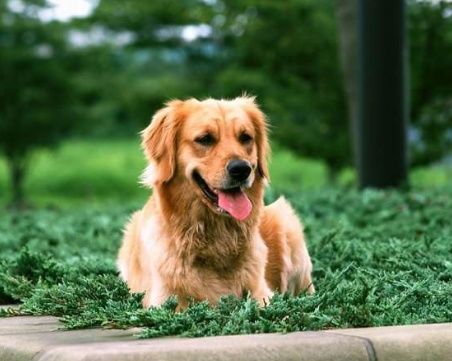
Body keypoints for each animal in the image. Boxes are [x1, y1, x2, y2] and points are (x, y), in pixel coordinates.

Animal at [117, 97, 314, 308]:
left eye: (245, 137)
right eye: (205, 139)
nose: (241, 169)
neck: (216, 238)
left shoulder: (262, 294)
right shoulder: (163, 301)